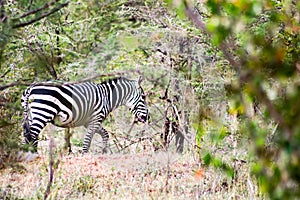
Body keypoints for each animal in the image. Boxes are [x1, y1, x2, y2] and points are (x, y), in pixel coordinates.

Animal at [21, 76, 150, 153]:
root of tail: (31, 87)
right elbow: (87, 141)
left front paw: (104, 151)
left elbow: (105, 134)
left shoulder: (90, 122)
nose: (148, 117)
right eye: (143, 97)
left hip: (30, 116)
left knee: (27, 137)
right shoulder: (95, 119)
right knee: (31, 136)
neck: (107, 97)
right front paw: (85, 156)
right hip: (42, 113)